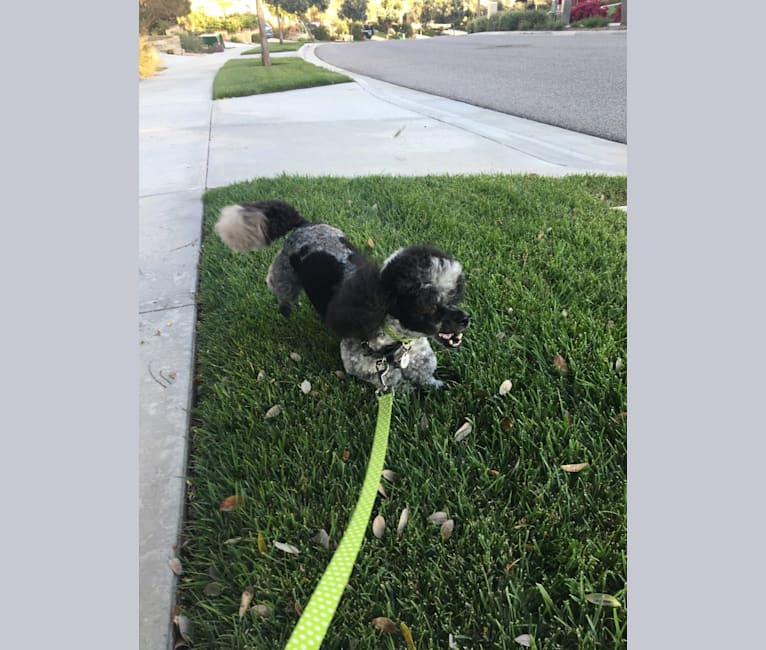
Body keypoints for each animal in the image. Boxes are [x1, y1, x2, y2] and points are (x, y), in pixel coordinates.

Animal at [213, 200, 472, 388]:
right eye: (426, 306)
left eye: (453, 295)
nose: (466, 318)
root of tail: (304, 224)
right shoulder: (363, 366)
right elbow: (393, 382)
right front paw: (407, 391)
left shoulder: (418, 355)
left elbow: (425, 374)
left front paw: (437, 386)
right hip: (283, 275)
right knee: (280, 290)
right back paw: (285, 309)